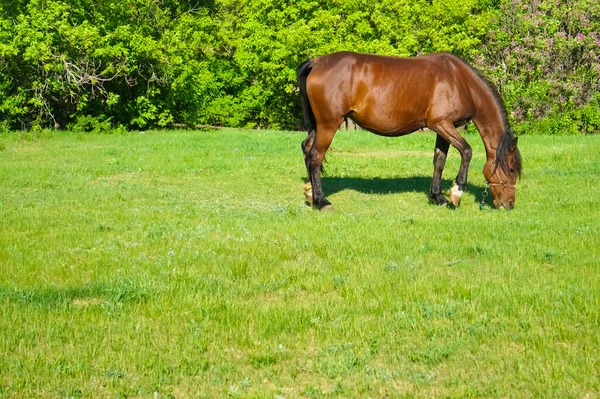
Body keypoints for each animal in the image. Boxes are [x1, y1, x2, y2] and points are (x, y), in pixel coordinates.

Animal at [298, 51, 524, 211]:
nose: (509, 204)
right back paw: (322, 201)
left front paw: (438, 197)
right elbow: (467, 151)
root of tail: (316, 62)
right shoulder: (443, 124)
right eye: (512, 169)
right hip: (329, 124)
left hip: (320, 126)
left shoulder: (442, 128)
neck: (461, 82)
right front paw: (456, 192)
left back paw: (310, 194)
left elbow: (439, 160)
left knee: (307, 149)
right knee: (315, 156)